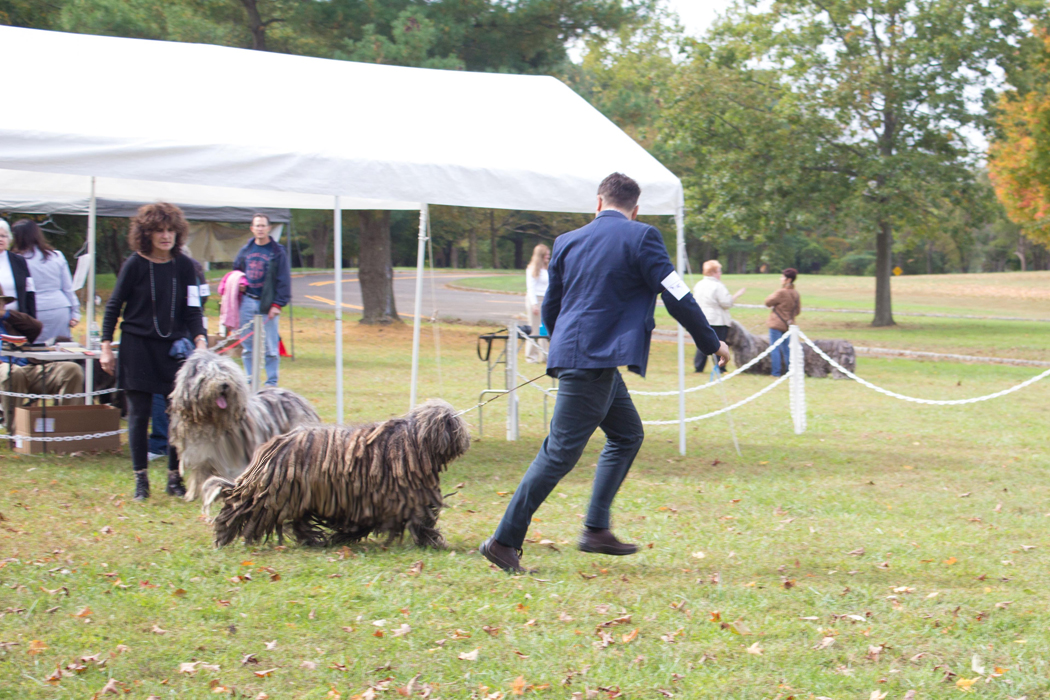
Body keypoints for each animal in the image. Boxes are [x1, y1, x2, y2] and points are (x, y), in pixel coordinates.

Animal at [170, 350, 319, 503]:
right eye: (209, 375)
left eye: (226, 373)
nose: (224, 384)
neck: (210, 420)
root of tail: (300, 400)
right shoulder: (200, 455)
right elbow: (198, 475)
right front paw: (192, 495)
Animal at [201, 398, 472, 545]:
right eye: (454, 423)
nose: (467, 438)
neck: (412, 443)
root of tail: (272, 449)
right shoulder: (405, 499)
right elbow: (422, 522)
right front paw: (434, 542)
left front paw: (341, 537)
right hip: (272, 497)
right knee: (241, 509)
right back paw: (224, 533)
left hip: (297, 497)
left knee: (298, 523)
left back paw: (313, 540)